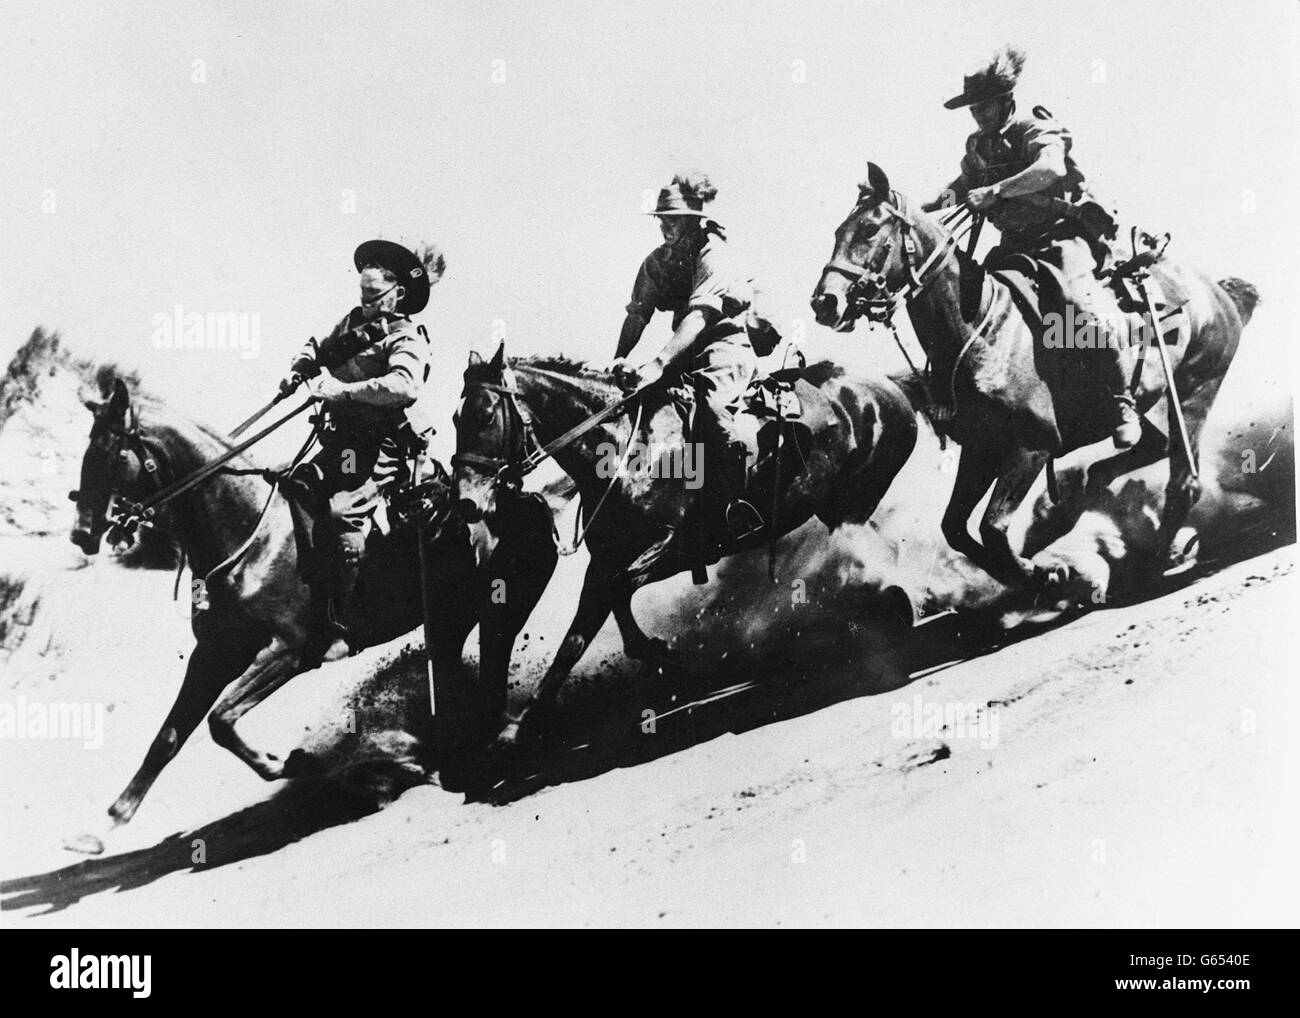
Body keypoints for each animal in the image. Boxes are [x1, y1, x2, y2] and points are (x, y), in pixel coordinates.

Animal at [65, 377, 553, 852]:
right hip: (451, 621)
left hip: (498, 608)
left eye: (111, 455)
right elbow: (170, 735)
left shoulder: (289, 652)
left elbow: (221, 719)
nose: (82, 534)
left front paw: (288, 764)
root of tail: (523, 498)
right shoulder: (216, 654)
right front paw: (106, 823)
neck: (251, 535)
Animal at [452, 343, 920, 748]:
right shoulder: (606, 559)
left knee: (880, 552)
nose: (466, 501)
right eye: (456, 419)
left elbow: (604, 607)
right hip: (840, 507)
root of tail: (883, 386)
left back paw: (892, 605)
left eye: (485, 414)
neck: (626, 450)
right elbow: (589, 627)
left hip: (855, 500)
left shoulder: (668, 548)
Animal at [806, 163, 1253, 592]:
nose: (825, 302)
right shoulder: (982, 450)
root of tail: (1218, 293)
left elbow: (991, 526)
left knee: (1183, 482)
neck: (983, 329)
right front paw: (1037, 572)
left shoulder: (1032, 447)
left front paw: (1045, 574)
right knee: (1127, 460)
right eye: (838, 231)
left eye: (869, 228)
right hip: (1156, 409)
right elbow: (956, 528)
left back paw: (1153, 561)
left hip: (1194, 395)